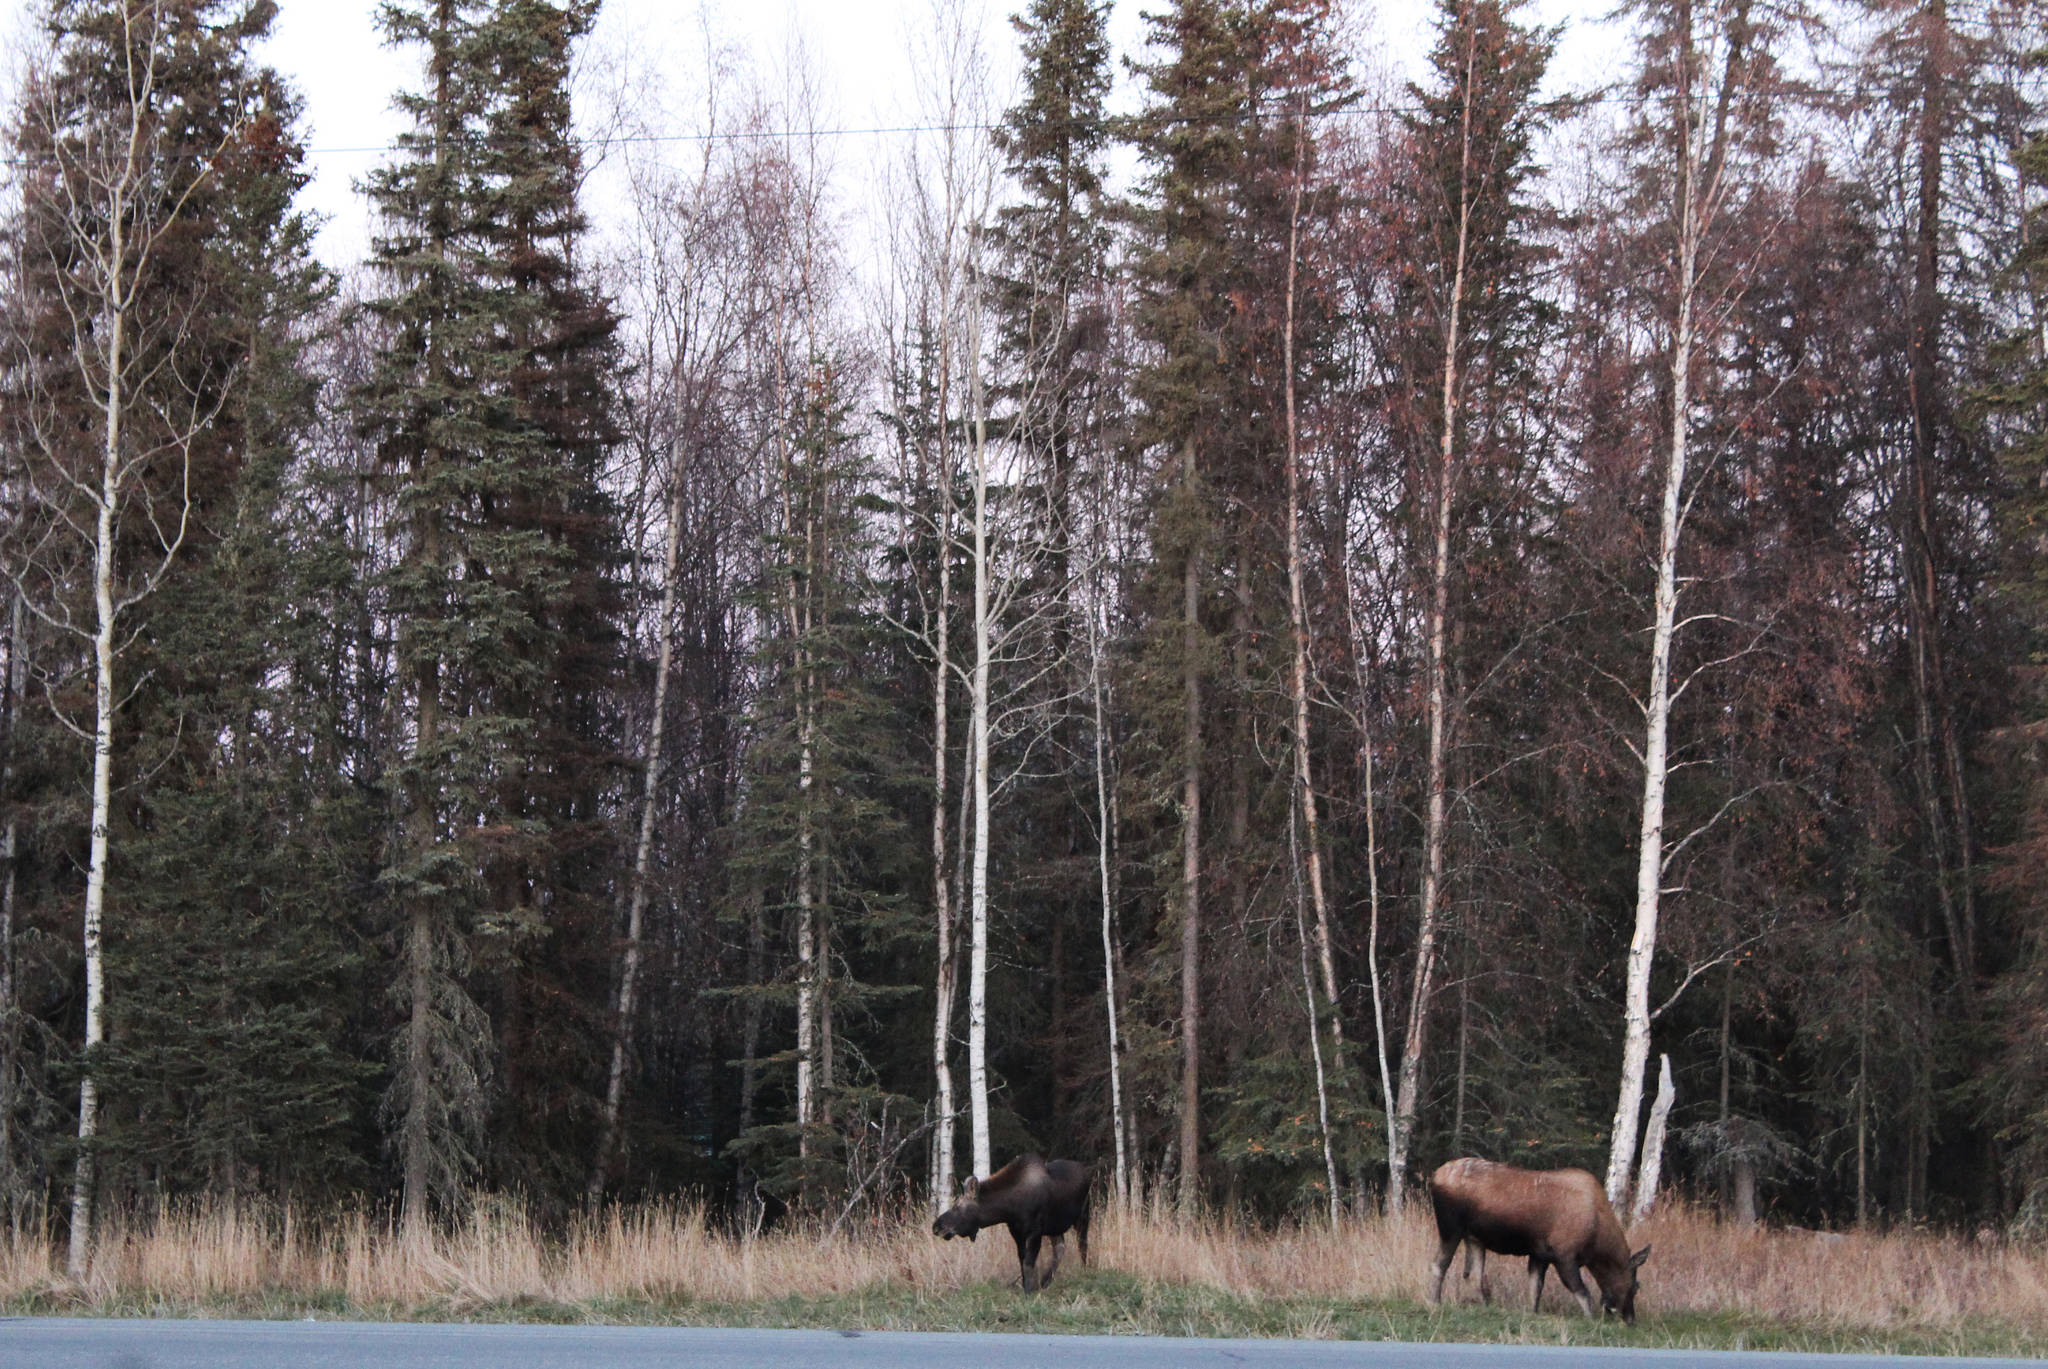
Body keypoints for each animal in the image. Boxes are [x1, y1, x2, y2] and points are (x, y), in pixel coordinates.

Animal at [929, 1147, 1089, 1287]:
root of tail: (1085, 1169)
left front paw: (1029, 1292)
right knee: (1060, 1248)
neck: (1011, 1207)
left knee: (1082, 1245)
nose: (936, 1226)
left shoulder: (1035, 1232)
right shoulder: (1016, 1233)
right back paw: (1046, 1281)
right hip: (1055, 1228)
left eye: (957, 1206)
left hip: (1082, 1217)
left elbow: (1028, 1264)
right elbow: (1022, 1263)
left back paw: (1083, 1271)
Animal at [1433, 1155, 1654, 1328]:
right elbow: (1582, 1291)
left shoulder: (1540, 1255)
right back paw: (1436, 1302)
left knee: (1474, 1276)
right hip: (1450, 1227)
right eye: (1636, 1286)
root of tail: (1435, 1176)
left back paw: (1485, 1306)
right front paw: (1590, 1320)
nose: (1631, 1320)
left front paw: (1533, 1314)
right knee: (1439, 1264)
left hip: (1475, 1238)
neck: (1596, 1242)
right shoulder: (1564, 1255)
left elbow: (1535, 1289)